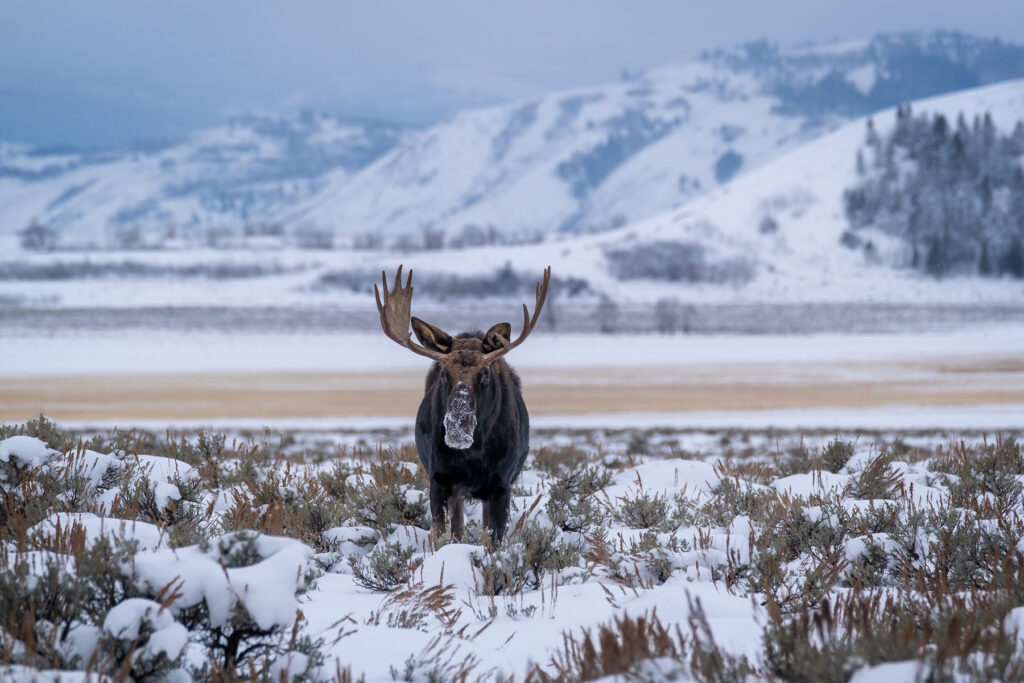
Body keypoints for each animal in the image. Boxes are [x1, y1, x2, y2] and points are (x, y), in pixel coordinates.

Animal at [376, 266, 552, 544]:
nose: (458, 429)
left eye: (485, 375)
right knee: (457, 526)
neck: (474, 454)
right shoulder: (440, 479)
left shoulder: (501, 484)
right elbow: (442, 534)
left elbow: (493, 538)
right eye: (444, 374)